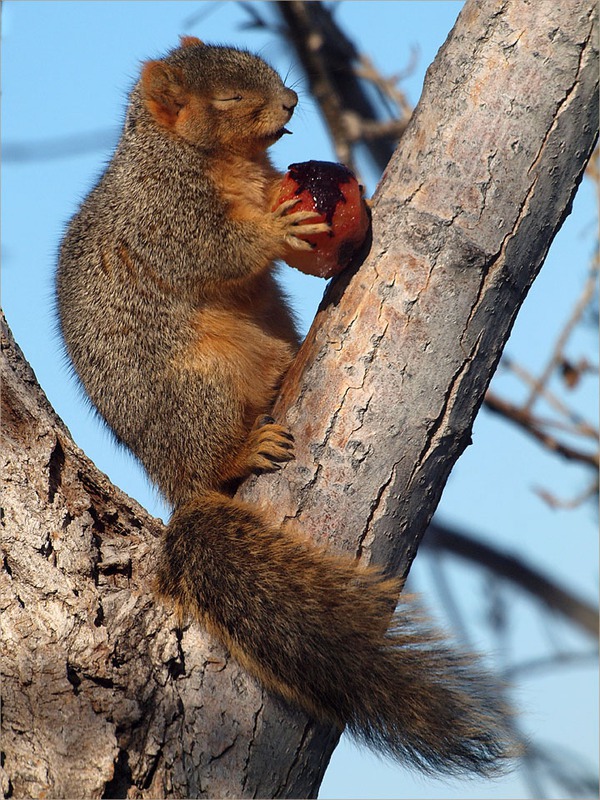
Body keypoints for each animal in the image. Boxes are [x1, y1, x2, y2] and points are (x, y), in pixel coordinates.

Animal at [55, 36, 516, 776]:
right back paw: (245, 447)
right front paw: (274, 228)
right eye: (232, 97)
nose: (294, 100)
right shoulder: (164, 214)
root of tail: (177, 482)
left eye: (264, 70)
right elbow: (212, 251)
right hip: (198, 390)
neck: (214, 160)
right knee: (214, 446)